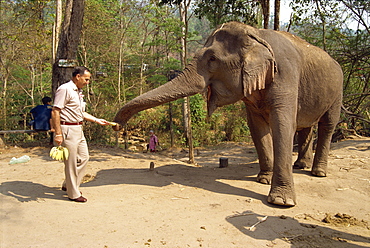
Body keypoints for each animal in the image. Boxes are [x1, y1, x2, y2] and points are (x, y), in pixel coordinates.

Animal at [113, 21, 344, 207]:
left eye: (213, 58)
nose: (117, 125)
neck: (258, 34)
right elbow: (257, 127)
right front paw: (263, 179)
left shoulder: (286, 75)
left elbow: (283, 124)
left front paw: (281, 201)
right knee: (307, 126)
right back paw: (300, 165)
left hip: (337, 91)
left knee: (327, 125)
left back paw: (318, 172)